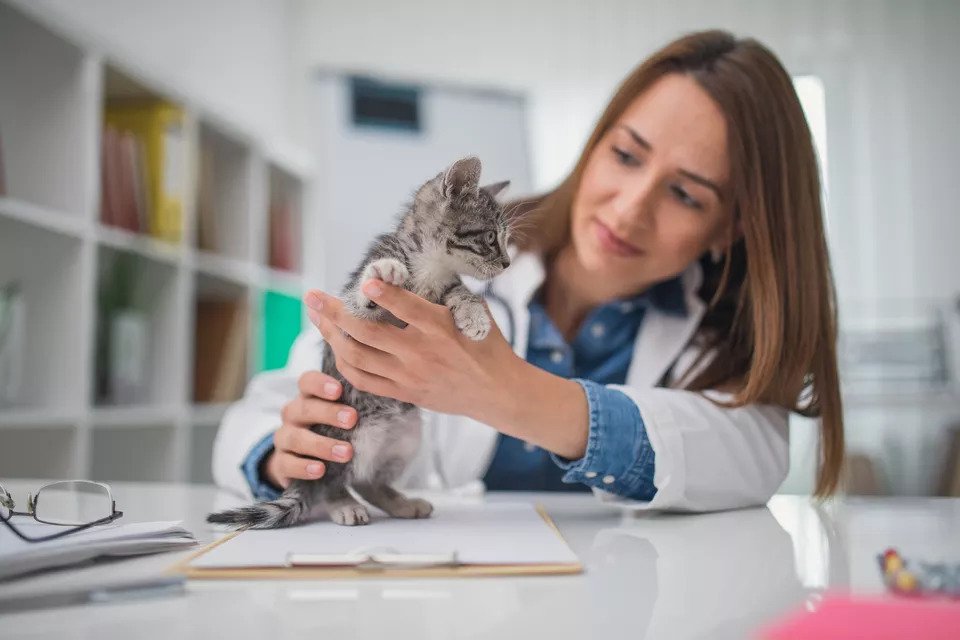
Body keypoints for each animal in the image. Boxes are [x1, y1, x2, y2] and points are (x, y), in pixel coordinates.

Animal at [207, 158, 512, 528]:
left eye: (506, 240)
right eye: (491, 238)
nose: (508, 262)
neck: (431, 267)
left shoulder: (446, 287)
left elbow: (462, 291)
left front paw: (475, 316)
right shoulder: (350, 315)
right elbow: (362, 295)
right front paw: (382, 274)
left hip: (407, 435)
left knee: (367, 480)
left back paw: (401, 502)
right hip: (346, 437)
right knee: (331, 479)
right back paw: (344, 504)